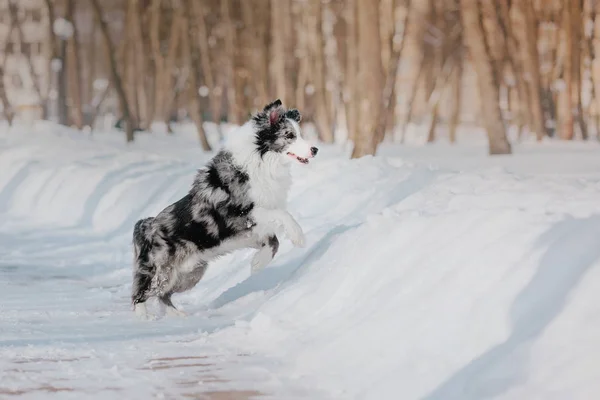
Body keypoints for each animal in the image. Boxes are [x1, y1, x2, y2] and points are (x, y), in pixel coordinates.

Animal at [131, 101, 318, 318]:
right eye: (289, 135)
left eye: (300, 133)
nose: (315, 149)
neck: (263, 161)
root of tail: (146, 226)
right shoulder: (241, 213)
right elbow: (282, 215)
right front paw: (298, 236)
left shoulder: (249, 231)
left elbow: (274, 242)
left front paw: (257, 264)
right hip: (160, 271)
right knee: (140, 294)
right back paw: (144, 318)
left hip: (192, 274)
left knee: (164, 295)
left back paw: (178, 316)